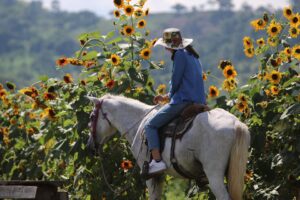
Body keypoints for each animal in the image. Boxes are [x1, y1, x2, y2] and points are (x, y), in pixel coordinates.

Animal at [86, 94, 251, 200]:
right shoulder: (160, 176)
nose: (90, 146)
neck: (140, 123)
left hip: (214, 174)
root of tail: (236, 124)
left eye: (92, 117)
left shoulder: (151, 176)